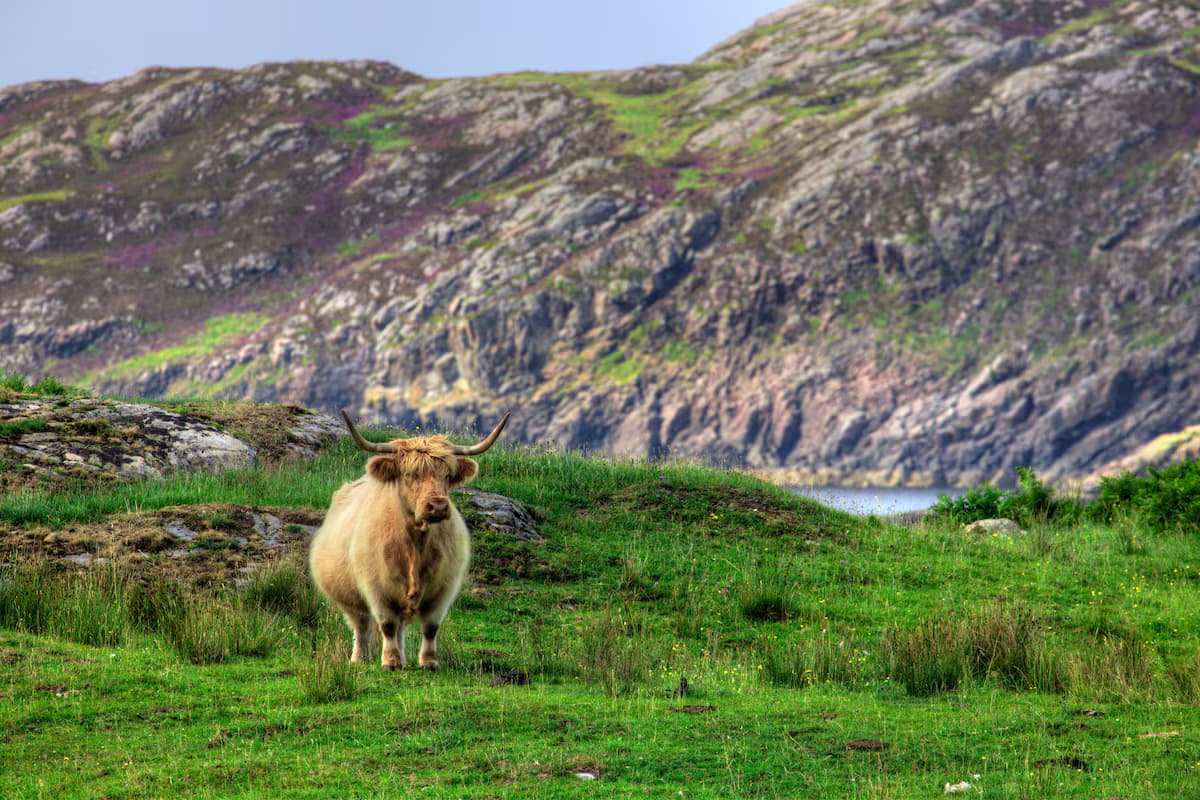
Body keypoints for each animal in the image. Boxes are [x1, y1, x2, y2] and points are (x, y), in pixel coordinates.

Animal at [309, 410, 509, 670]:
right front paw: (390, 662)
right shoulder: (376, 587)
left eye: (447, 475)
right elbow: (386, 624)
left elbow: (431, 627)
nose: (438, 506)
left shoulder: (444, 588)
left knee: (399, 627)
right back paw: (360, 658)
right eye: (409, 474)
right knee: (361, 626)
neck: (415, 544)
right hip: (348, 597)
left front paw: (429, 662)